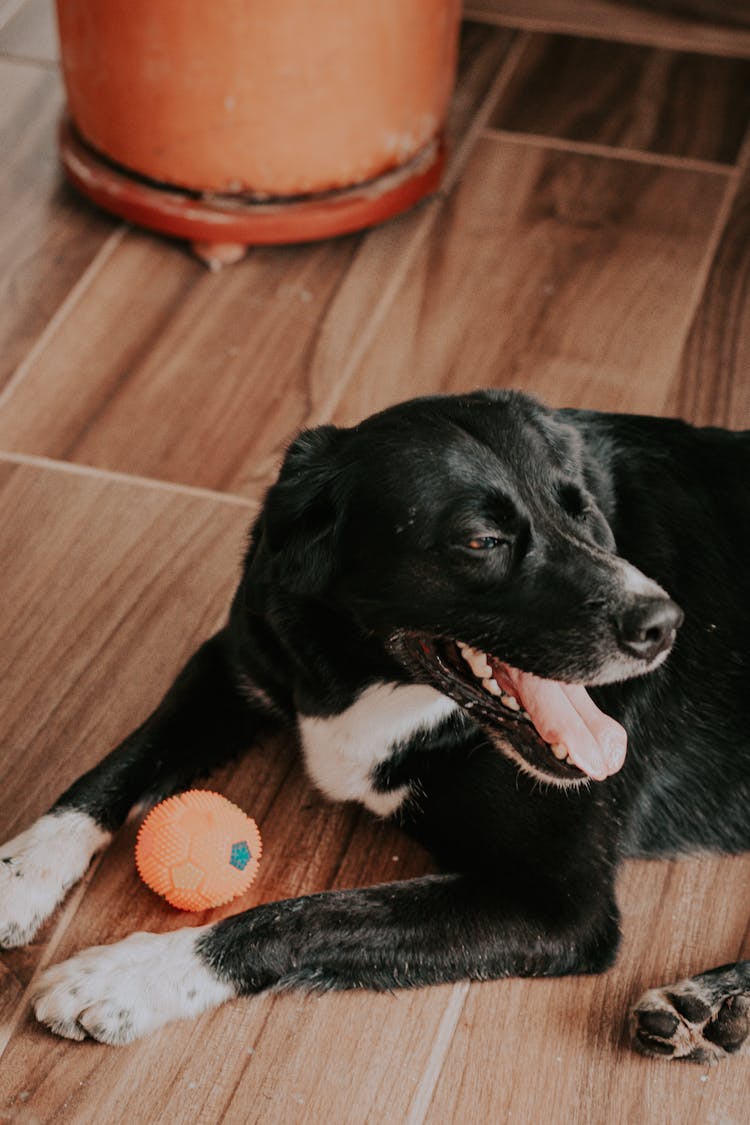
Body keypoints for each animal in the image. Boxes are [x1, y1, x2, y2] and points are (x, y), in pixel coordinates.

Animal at [1, 391, 750, 1057]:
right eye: (482, 540)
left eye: (584, 510)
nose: (664, 624)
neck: (372, 680)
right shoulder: (234, 661)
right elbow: (118, 762)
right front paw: (20, 872)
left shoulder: (560, 904)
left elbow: (306, 914)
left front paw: (130, 975)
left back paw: (708, 1002)